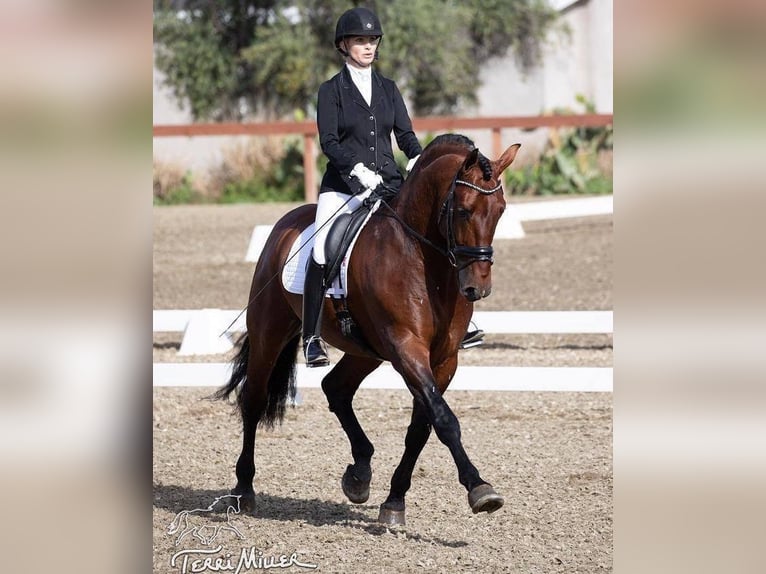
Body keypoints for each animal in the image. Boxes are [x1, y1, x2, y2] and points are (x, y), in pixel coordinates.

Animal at [213, 134, 521, 525]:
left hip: (365, 350)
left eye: (501, 210)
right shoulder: (406, 348)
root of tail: (287, 222)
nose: (477, 288)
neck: (421, 257)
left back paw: (359, 475)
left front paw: (394, 502)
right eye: (464, 210)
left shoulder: (443, 359)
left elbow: (422, 427)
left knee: (336, 388)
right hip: (270, 330)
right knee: (253, 398)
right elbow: (444, 419)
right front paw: (480, 489)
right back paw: (243, 491)